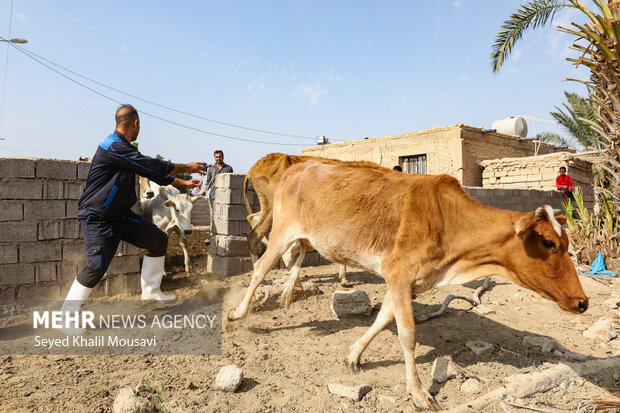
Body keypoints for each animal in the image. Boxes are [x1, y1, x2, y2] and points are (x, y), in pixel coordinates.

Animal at [230, 161, 588, 408]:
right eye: (548, 243)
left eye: (566, 242)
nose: (583, 302)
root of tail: (298, 167)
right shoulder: (399, 274)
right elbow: (408, 334)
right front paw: (417, 392)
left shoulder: (407, 281)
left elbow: (382, 319)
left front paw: (354, 355)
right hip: (281, 231)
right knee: (260, 268)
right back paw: (238, 313)